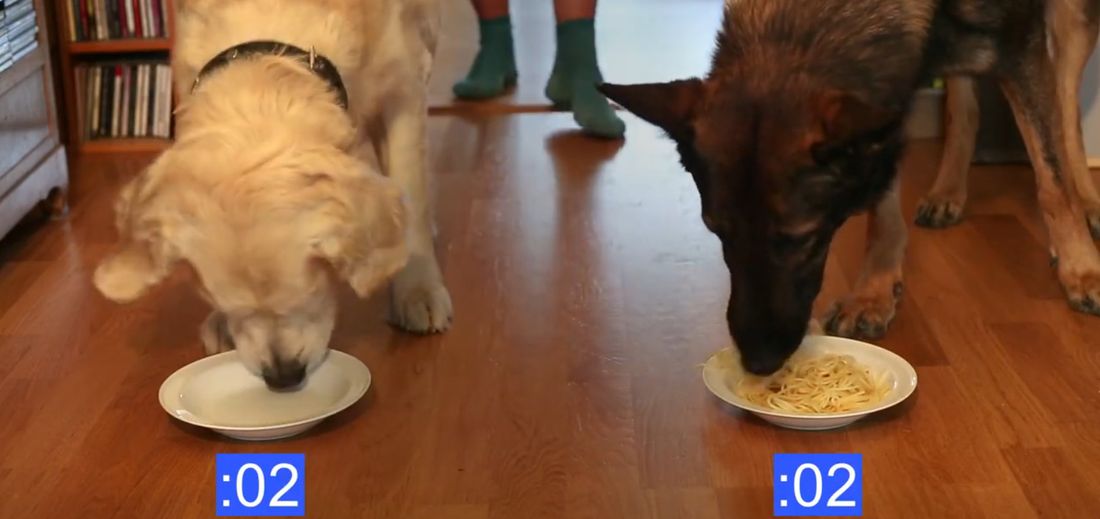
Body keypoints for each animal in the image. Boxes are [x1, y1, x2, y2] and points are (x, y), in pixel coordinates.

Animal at [91, 0, 451, 389]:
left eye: (314, 284)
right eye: (220, 299)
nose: (283, 377)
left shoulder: (403, 90)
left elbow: (411, 191)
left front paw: (418, 288)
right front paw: (221, 323)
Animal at [602, 0, 1100, 376]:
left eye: (801, 238)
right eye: (717, 232)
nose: (759, 363)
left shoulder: (1019, 47)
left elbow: (1051, 175)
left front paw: (1081, 267)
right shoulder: (882, 109)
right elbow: (883, 209)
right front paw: (873, 290)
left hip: (1071, 17)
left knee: (1065, 106)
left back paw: (1086, 211)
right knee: (964, 102)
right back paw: (948, 192)